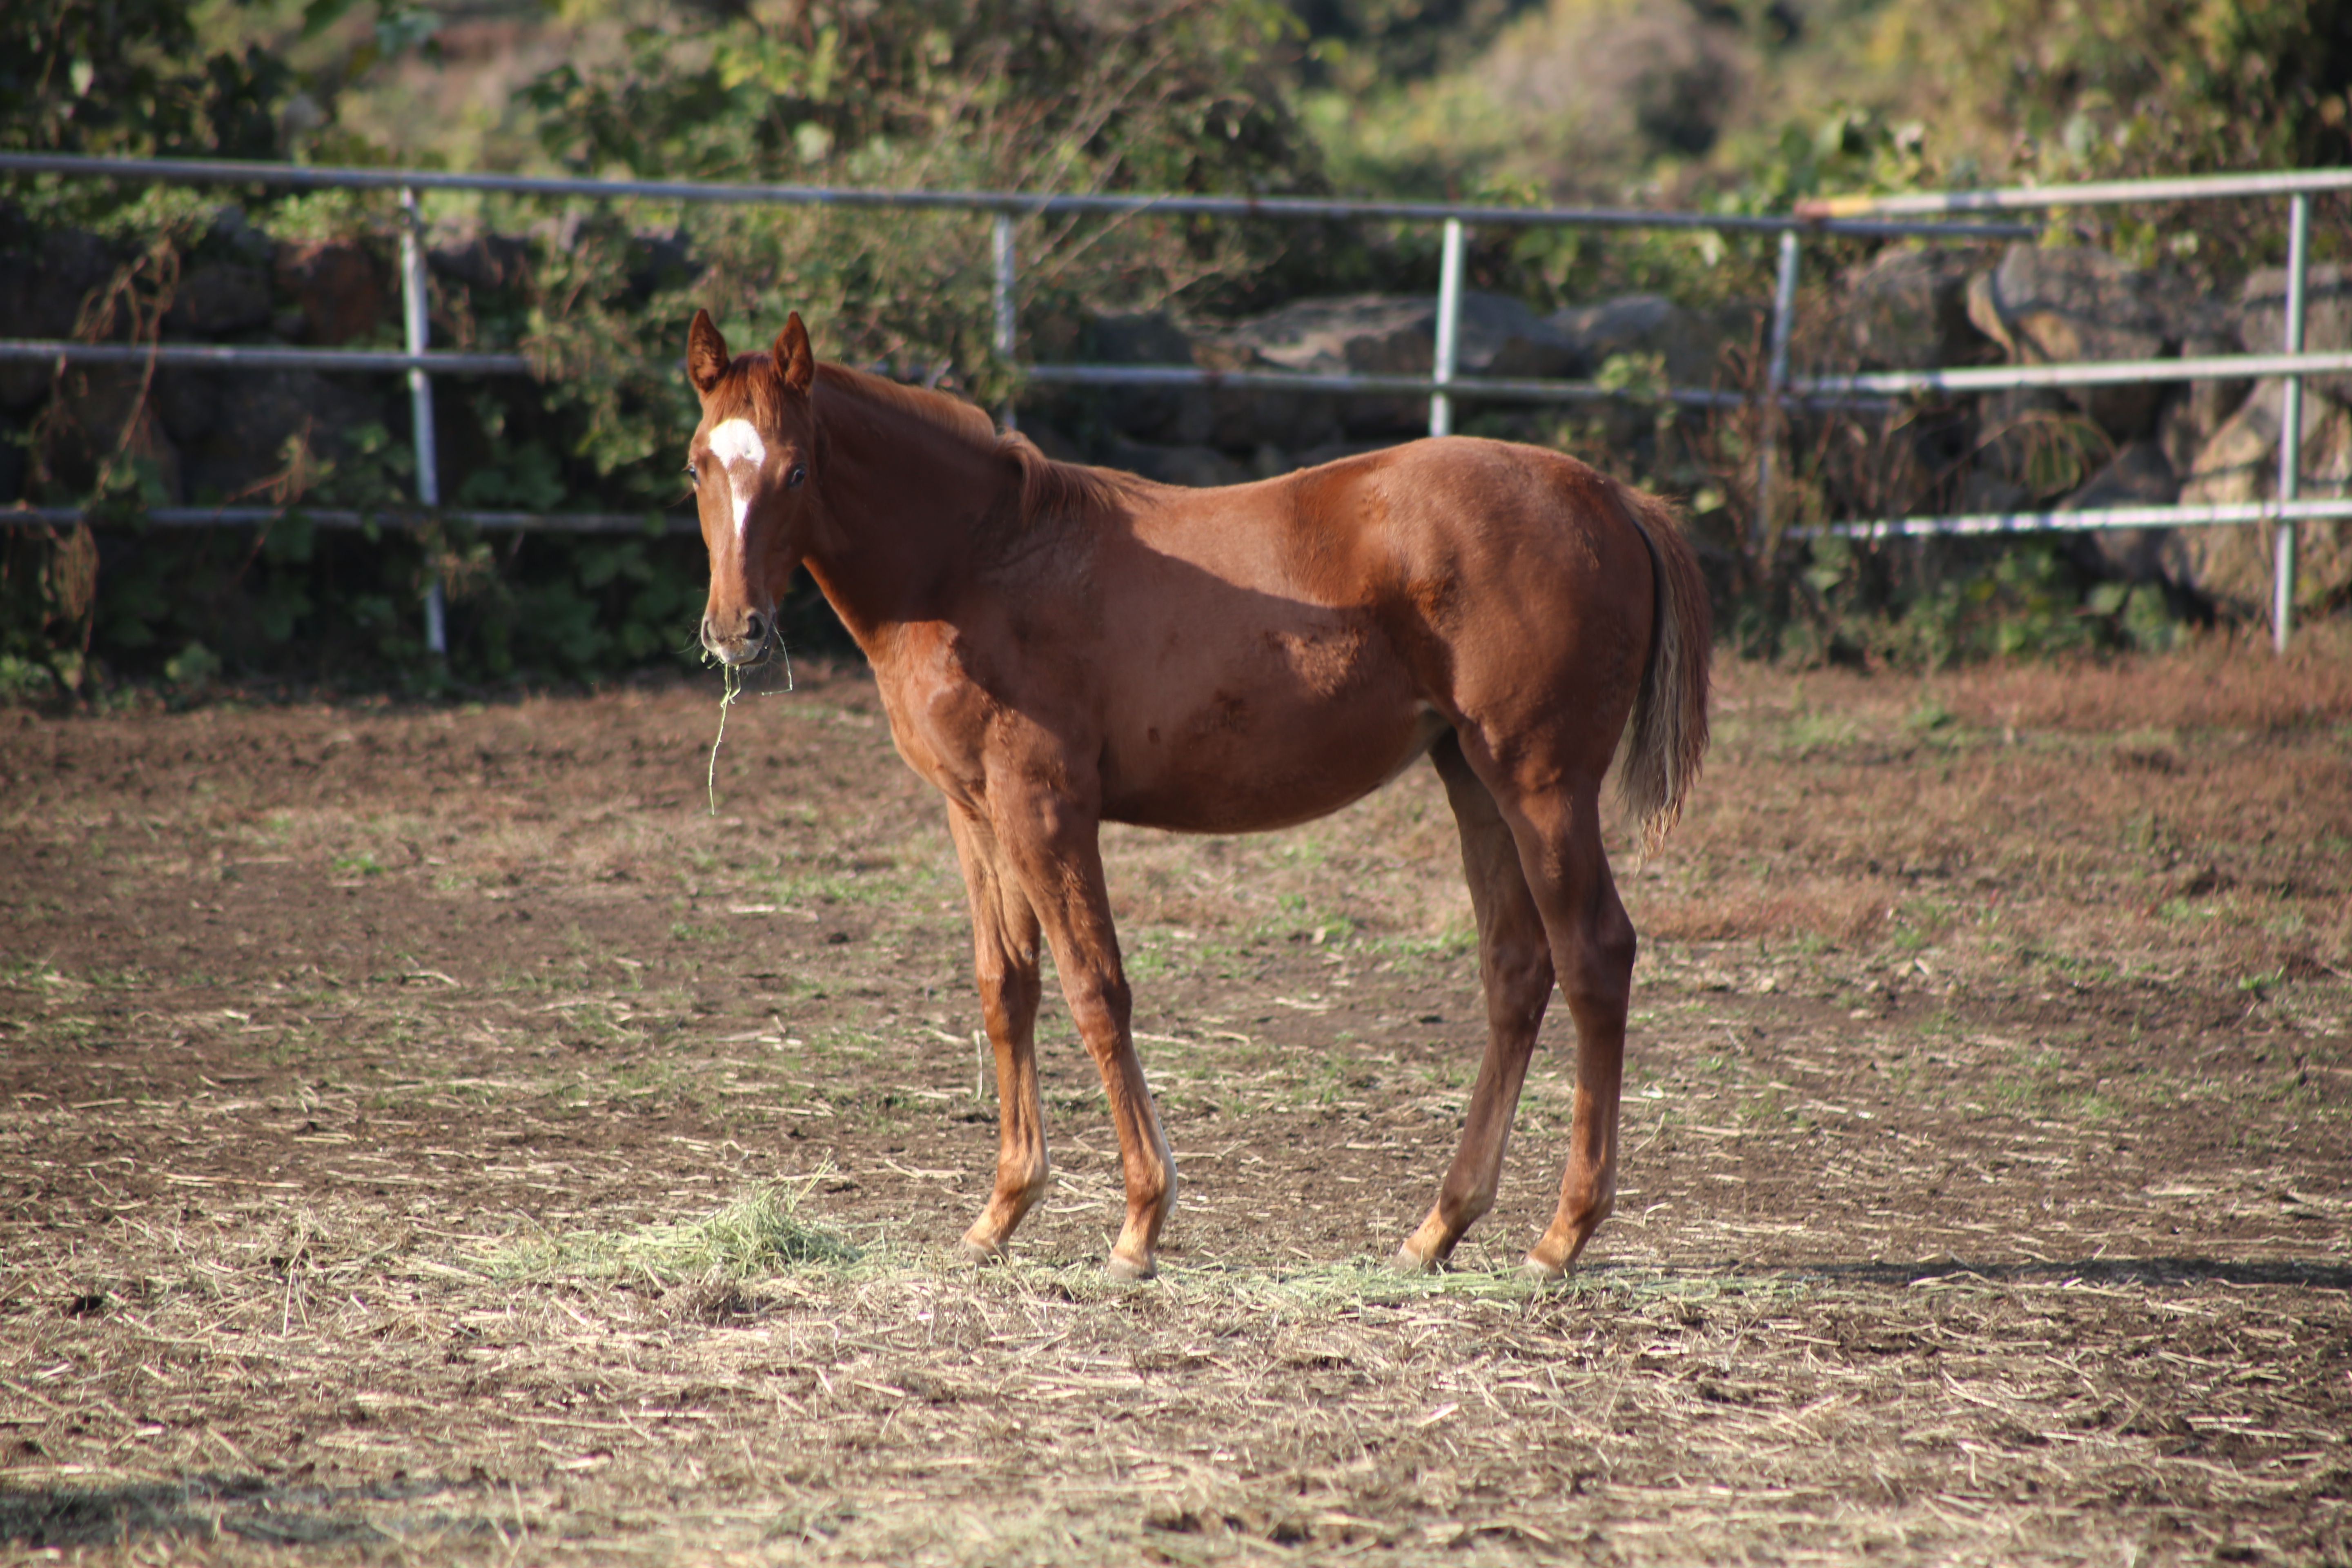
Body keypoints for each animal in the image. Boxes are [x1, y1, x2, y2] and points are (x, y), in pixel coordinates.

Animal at [686, 312, 1712, 1278]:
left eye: (797, 469)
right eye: (699, 464)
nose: (737, 631)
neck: (975, 558)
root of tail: (1609, 497)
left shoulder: (1045, 807)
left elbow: (1095, 987)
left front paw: (1140, 1223)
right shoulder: (974, 811)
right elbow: (1004, 987)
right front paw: (999, 1214)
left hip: (1542, 785)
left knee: (1594, 957)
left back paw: (1561, 1235)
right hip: (1474, 779)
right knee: (1516, 969)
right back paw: (1438, 1228)